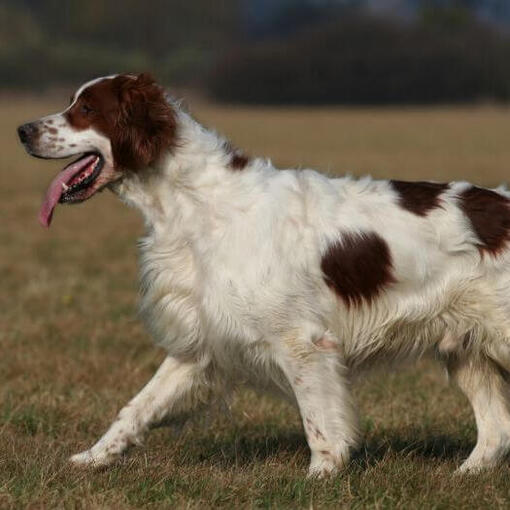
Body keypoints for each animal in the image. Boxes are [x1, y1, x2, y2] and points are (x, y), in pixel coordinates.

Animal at [18, 72, 510, 478]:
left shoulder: (301, 342)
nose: (22, 130)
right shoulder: (200, 342)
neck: (196, 204)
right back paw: (466, 474)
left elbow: (320, 422)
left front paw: (320, 477)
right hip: (466, 347)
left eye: (85, 109)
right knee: (496, 427)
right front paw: (93, 458)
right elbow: (137, 407)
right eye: (73, 102)